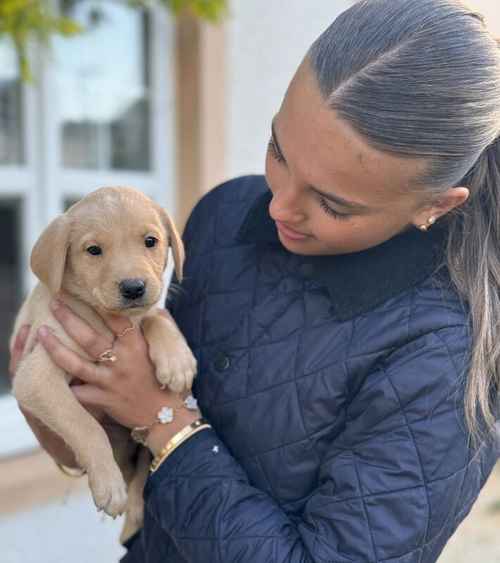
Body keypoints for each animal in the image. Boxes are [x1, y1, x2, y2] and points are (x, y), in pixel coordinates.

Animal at [9, 187, 197, 544]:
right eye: (93, 250)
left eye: (150, 241)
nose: (134, 288)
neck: (101, 316)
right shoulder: (35, 375)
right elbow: (84, 424)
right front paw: (109, 485)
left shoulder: (142, 314)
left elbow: (155, 316)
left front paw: (177, 359)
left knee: (145, 466)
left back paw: (136, 510)